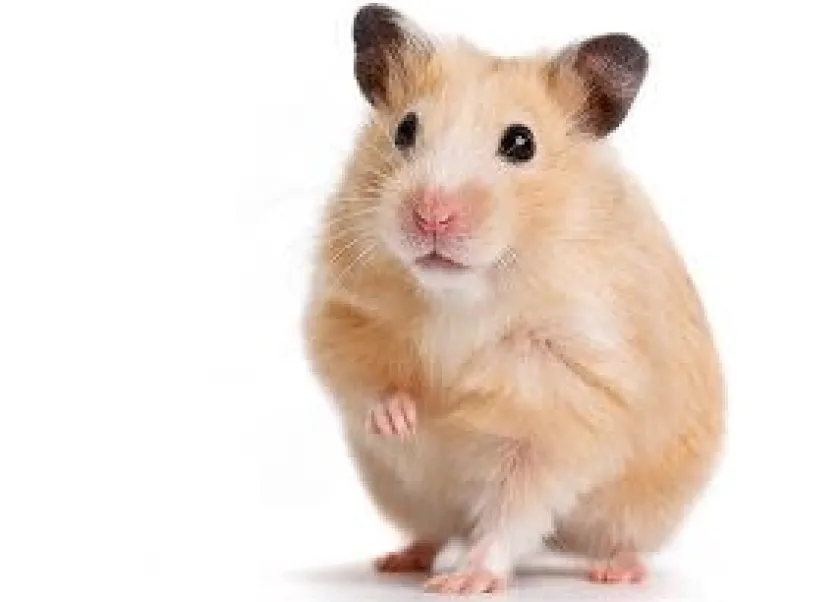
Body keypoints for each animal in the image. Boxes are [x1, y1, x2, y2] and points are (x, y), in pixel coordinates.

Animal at [303, 4, 724, 594]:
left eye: (520, 143)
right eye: (405, 129)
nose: (431, 215)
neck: (462, 295)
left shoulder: (567, 402)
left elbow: (514, 507)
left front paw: (465, 582)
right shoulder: (342, 310)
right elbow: (364, 378)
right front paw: (405, 418)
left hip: (644, 506)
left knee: (618, 538)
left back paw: (614, 572)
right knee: (433, 531)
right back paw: (399, 559)